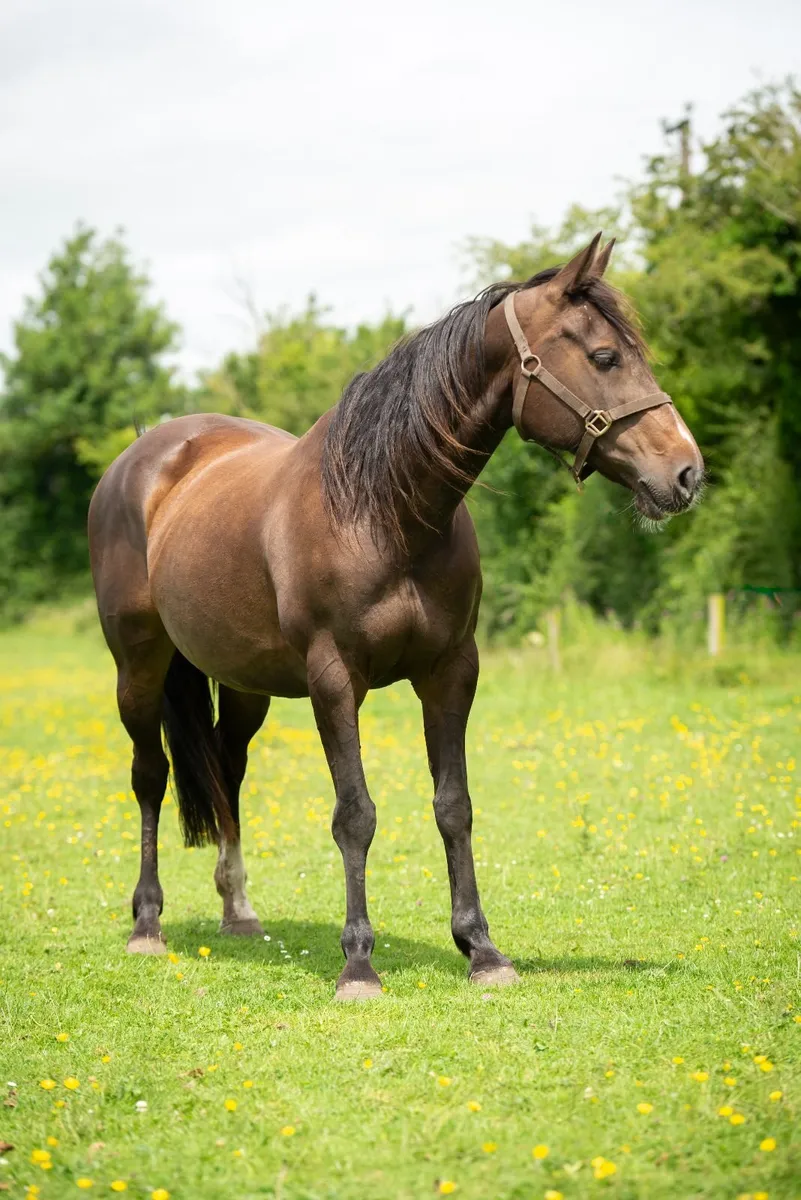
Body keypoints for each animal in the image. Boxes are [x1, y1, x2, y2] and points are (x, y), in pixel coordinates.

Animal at [88, 234, 703, 999]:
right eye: (603, 357)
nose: (687, 472)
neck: (385, 510)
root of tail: (145, 452)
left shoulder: (451, 672)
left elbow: (453, 805)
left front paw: (482, 949)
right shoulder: (333, 679)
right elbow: (355, 815)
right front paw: (358, 962)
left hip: (243, 683)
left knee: (226, 769)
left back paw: (239, 911)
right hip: (138, 666)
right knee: (150, 776)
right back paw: (147, 924)